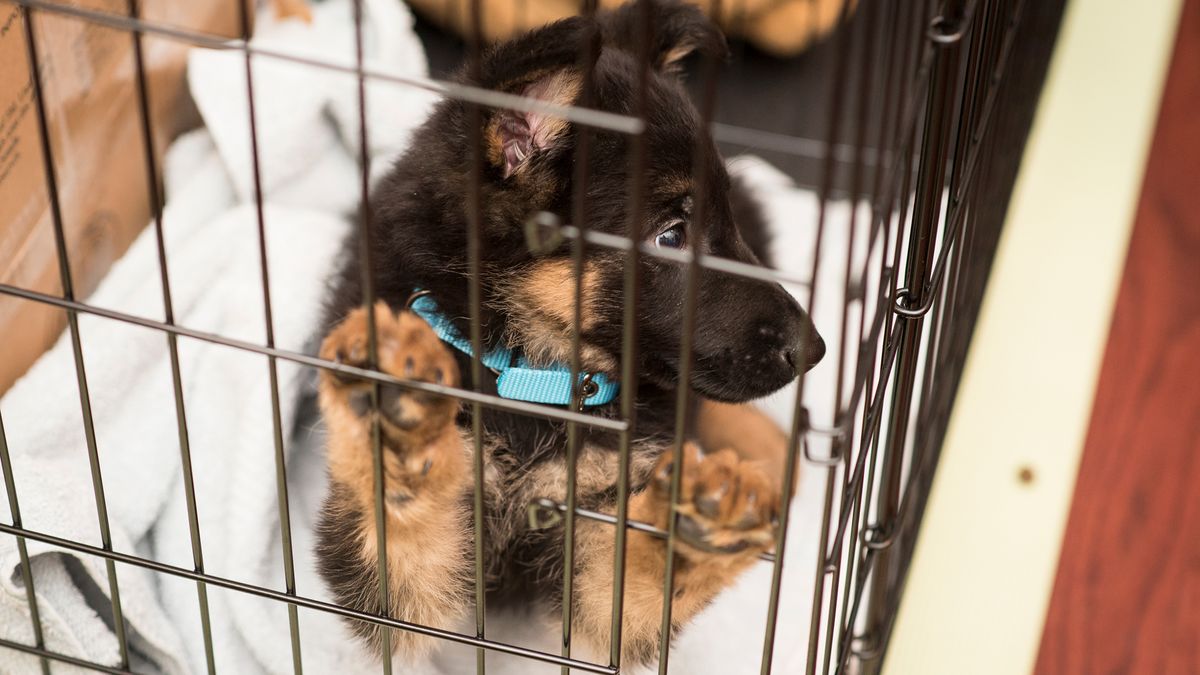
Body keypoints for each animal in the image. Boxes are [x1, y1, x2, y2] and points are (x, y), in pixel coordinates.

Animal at [316, 0, 825, 662]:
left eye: (725, 217)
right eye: (670, 237)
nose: (814, 349)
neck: (530, 373)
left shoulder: (599, 550)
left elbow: (637, 575)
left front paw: (709, 517)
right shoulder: (395, 594)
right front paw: (402, 415)